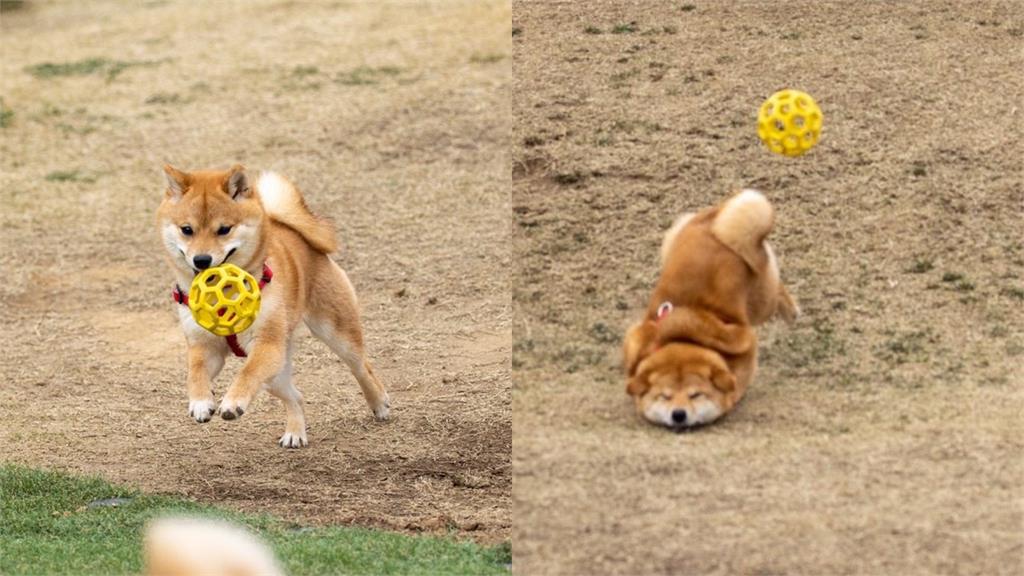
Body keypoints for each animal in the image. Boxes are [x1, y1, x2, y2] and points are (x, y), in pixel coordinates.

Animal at [155, 163, 387, 446]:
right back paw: (295, 433)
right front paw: (200, 402)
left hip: (335, 334)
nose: (201, 260)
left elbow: (247, 373)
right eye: (187, 230)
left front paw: (232, 402)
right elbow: (195, 371)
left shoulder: (266, 344)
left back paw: (379, 403)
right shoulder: (204, 346)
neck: (223, 294)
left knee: (363, 368)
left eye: (224, 229)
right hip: (276, 372)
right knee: (296, 397)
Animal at [622, 190, 798, 428]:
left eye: (696, 395)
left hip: (763, 302)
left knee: (777, 293)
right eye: (665, 396)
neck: (679, 339)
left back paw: (792, 311)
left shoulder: (745, 342)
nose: (678, 414)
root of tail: (717, 223)